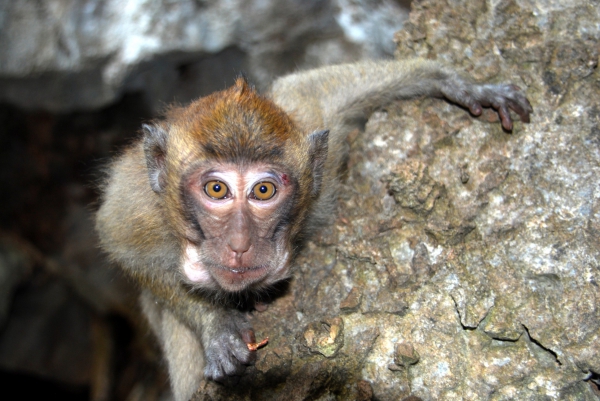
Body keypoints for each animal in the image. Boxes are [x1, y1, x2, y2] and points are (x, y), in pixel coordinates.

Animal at [96, 57, 532, 398]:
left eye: (264, 190)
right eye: (216, 189)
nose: (239, 243)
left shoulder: (311, 118)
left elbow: (316, 88)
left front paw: (454, 82)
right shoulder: (135, 208)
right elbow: (122, 247)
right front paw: (216, 323)